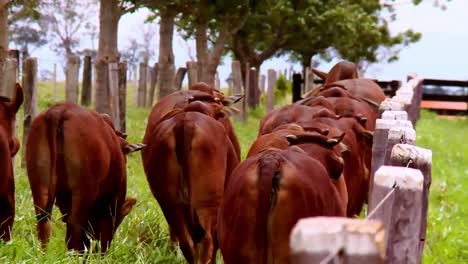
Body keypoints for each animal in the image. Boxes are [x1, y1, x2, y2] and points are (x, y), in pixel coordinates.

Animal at [25, 102, 142, 253]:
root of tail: (60, 109)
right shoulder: (109, 205)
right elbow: (102, 238)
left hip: (39, 187)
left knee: (44, 223)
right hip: (84, 191)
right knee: (75, 225)